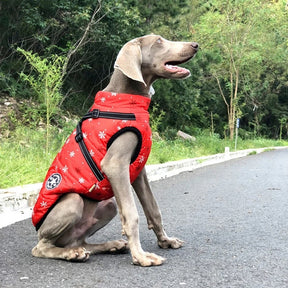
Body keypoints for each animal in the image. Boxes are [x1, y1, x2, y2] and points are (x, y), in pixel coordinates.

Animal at [31, 35, 198, 266]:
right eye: (159, 41)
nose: (195, 45)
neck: (125, 100)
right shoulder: (115, 165)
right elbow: (132, 214)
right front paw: (141, 256)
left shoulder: (138, 170)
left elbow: (153, 209)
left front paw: (166, 240)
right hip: (71, 203)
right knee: (43, 246)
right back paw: (71, 254)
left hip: (108, 205)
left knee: (80, 241)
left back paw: (109, 246)